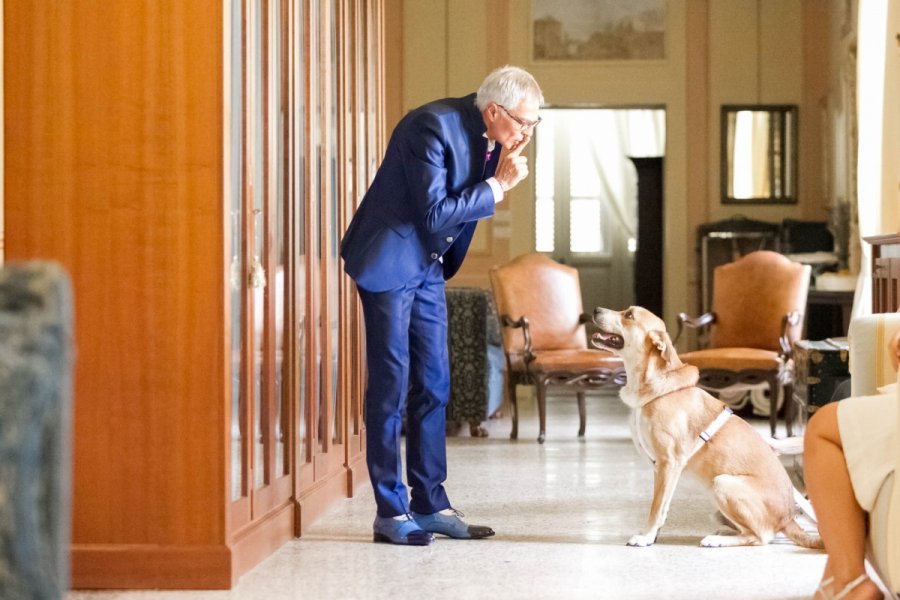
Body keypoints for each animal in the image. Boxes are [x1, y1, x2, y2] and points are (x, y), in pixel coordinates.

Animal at [592, 308, 824, 548]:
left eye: (629, 315)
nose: (596, 310)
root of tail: (788, 520)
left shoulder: (669, 463)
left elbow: (657, 508)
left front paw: (646, 537)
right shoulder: (660, 469)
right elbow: (662, 505)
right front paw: (653, 535)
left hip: (722, 483)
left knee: (760, 537)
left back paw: (717, 540)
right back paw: (725, 532)